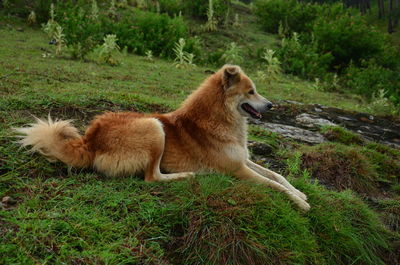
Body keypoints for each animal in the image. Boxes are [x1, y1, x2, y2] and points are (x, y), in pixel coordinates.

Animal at [15, 65, 310, 210]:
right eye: (251, 92)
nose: (271, 105)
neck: (219, 119)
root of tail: (90, 140)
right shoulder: (237, 170)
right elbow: (273, 185)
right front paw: (300, 203)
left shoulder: (244, 161)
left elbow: (279, 176)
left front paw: (300, 193)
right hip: (154, 126)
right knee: (152, 177)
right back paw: (188, 175)